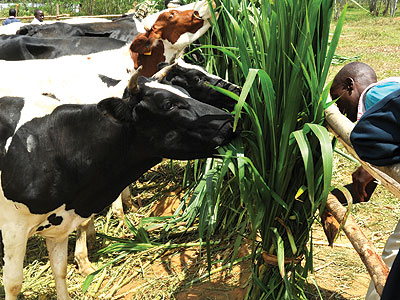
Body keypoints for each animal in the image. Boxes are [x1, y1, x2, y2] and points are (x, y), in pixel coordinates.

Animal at [0, 69, 238, 300]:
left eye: (184, 91)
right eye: (169, 104)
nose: (231, 121)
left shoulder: (60, 225)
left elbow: (59, 269)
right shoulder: (13, 228)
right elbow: (13, 284)